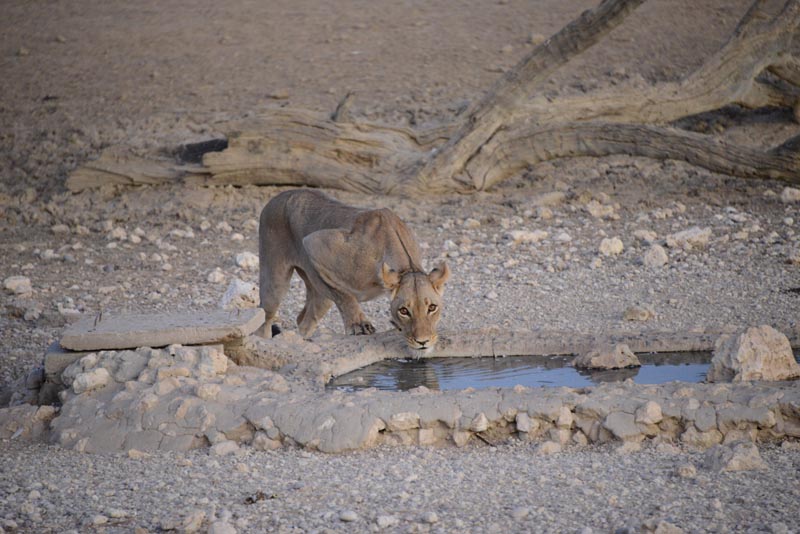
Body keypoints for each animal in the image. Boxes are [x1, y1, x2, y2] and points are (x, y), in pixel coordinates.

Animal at [258, 189, 450, 351]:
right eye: (404, 311)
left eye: (432, 307)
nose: (423, 342)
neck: (407, 267)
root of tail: (278, 196)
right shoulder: (315, 243)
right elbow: (344, 295)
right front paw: (359, 325)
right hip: (275, 284)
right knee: (264, 318)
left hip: (320, 297)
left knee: (304, 319)